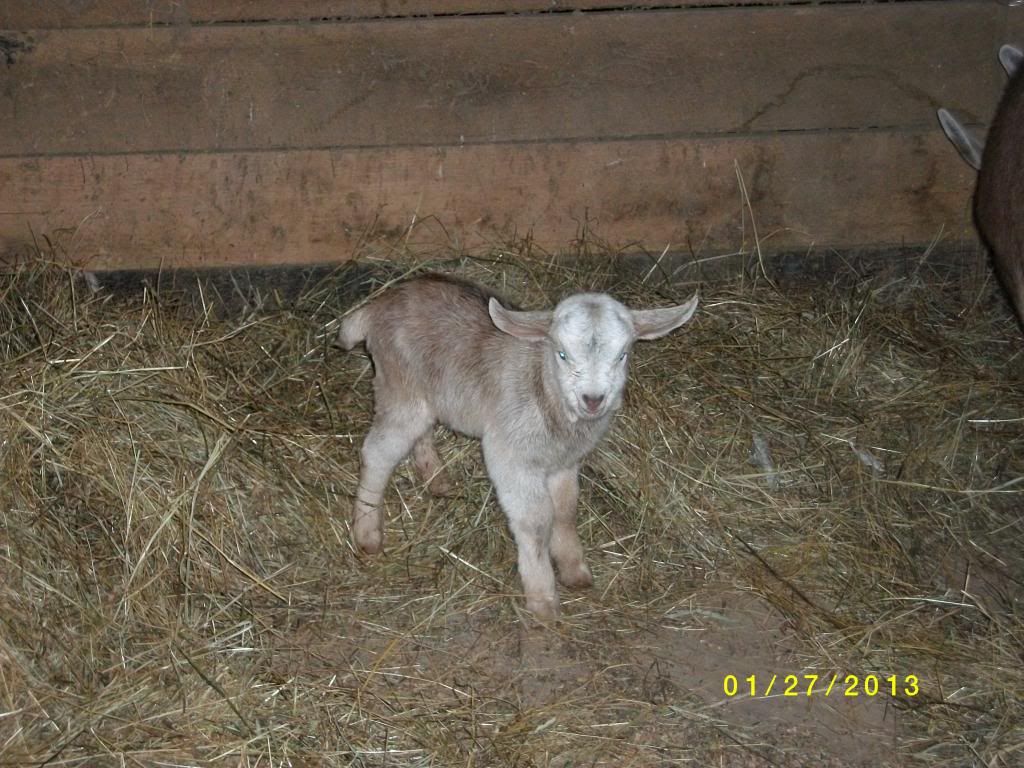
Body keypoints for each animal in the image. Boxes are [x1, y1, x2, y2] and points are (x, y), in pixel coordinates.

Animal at [339, 273, 699, 620]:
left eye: (622, 355)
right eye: (562, 354)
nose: (593, 399)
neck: (544, 390)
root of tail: (375, 306)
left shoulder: (565, 462)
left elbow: (566, 511)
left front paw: (574, 570)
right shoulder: (511, 457)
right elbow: (536, 521)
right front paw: (542, 599)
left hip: (424, 393)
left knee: (420, 433)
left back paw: (437, 479)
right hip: (400, 388)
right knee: (377, 453)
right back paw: (367, 533)